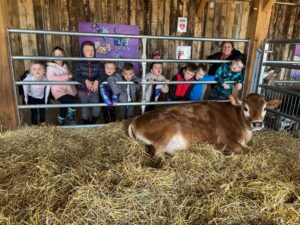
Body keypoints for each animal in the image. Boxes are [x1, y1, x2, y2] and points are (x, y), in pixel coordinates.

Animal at [128, 94, 282, 159]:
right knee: (156, 154)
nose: (257, 123)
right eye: (245, 108)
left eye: (264, 108)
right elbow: (246, 150)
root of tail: (136, 119)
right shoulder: (223, 140)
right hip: (169, 128)